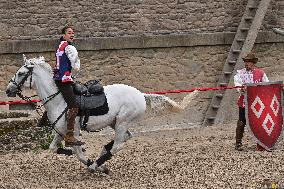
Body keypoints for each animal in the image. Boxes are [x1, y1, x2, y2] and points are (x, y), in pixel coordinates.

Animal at [6, 55, 197, 173]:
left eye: (21, 73)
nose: (8, 90)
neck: (59, 99)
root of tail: (141, 95)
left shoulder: (73, 133)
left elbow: (79, 153)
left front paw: (92, 164)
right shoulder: (60, 132)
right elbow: (54, 149)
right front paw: (74, 155)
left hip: (122, 121)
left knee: (118, 144)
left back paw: (97, 164)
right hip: (116, 122)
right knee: (126, 137)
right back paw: (102, 153)